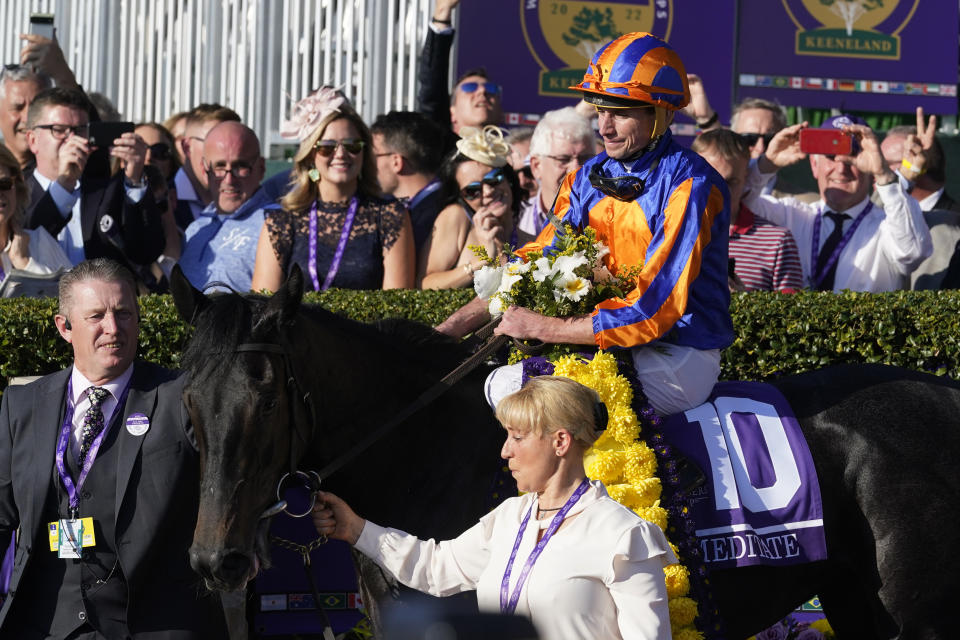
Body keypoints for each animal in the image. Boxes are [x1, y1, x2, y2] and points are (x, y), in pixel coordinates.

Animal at [171, 270, 960, 640]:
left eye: (265, 398)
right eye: (190, 402)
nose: (216, 560)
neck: (428, 455)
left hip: (920, 613)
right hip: (857, 603)